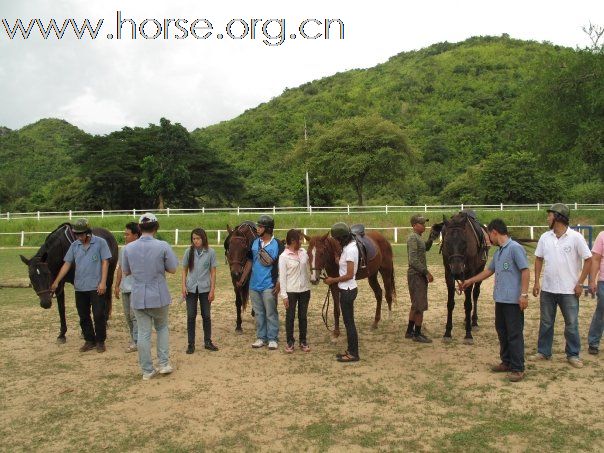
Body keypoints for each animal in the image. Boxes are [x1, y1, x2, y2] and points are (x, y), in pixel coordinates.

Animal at [432, 212, 488, 342]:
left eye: (464, 242)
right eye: (447, 242)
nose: (457, 270)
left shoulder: (469, 275)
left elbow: (468, 304)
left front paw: (468, 334)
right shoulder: (449, 275)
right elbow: (450, 303)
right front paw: (447, 333)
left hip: (480, 270)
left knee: (475, 294)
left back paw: (474, 322)